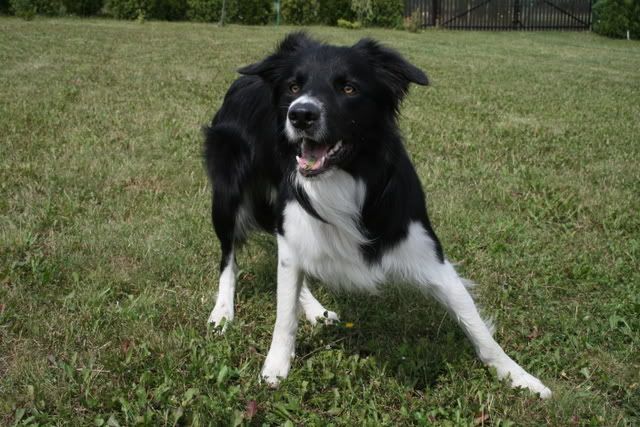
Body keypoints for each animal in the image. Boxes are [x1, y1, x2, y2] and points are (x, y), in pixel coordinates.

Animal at [203, 32, 551, 398]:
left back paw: (314, 309)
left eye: (349, 88)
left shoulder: (427, 252)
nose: (300, 115)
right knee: (229, 257)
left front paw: (520, 377)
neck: (346, 177)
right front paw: (275, 366)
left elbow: (473, 319)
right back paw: (223, 312)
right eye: (293, 87)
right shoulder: (292, 224)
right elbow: (284, 313)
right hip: (227, 199)